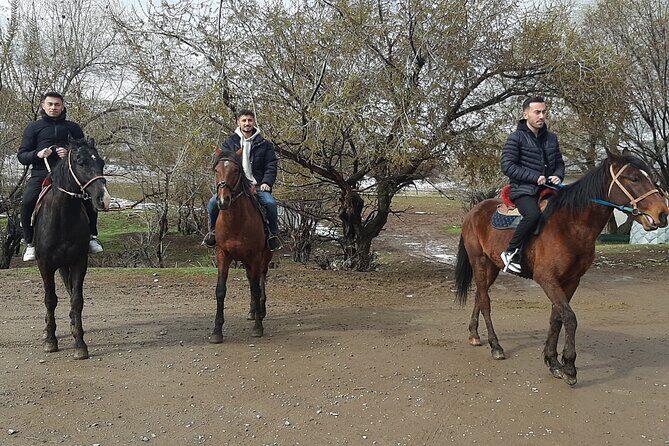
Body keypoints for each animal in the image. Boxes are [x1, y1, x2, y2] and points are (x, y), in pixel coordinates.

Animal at [32, 137, 110, 359]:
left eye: (101, 162)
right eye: (81, 162)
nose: (103, 199)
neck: (62, 216)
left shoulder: (79, 261)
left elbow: (76, 299)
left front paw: (80, 343)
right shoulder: (45, 264)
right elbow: (50, 300)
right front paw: (51, 340)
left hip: (64, 263)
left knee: (69, 289)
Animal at [209, 149, 273, 343]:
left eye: (236, 170)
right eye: (216, 170)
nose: (224, 200)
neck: (235, 221)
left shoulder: (256, 256)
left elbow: (256, 289)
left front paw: (258, 327)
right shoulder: (223, 254)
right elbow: (220, 290)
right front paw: (217, 331)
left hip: (264, 258)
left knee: (260, 280)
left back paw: (260, 311)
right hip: (246, 261)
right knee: (251, 279)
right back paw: (253, 311)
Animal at [455, 150, 668, 385]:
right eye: (633, 178)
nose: (662, 213)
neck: (569, 226)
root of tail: (473, 212)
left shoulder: (571, 280)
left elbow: (556, 318)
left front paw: (553, 361)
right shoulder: (547, 279)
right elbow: (570, 318)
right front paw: (569, 366)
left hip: (492, 267)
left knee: (479, 296)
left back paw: (474, 335)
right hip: (479, 262)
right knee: (485, 301)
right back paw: (496, 346)